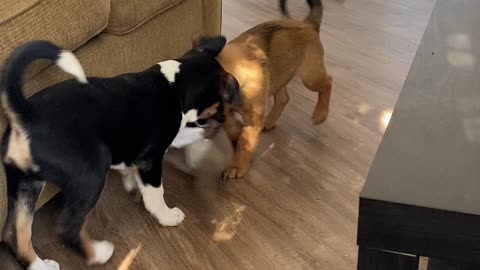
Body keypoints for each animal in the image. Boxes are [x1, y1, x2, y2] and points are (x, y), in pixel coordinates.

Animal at [0, 37, 240, 270]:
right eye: (220, 102)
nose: (223, 119)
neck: (176, 86)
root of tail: (26, 115)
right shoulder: (151, 158)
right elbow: (156, 194)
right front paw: (167, 216)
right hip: (92, 172)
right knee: (68, 226)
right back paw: (99, 254)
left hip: (25, 184)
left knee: (15, 234)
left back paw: (41, 266)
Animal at [219, 0, 332, 179]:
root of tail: (307, 24)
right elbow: (231, 128)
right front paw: (236, 136)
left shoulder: (252, 116)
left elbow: (245, 141)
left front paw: (237, 166)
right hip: (279, 77)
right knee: (284, 98)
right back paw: (270, 121)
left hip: (311, 76)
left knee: (328, 82)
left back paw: (321, 114)